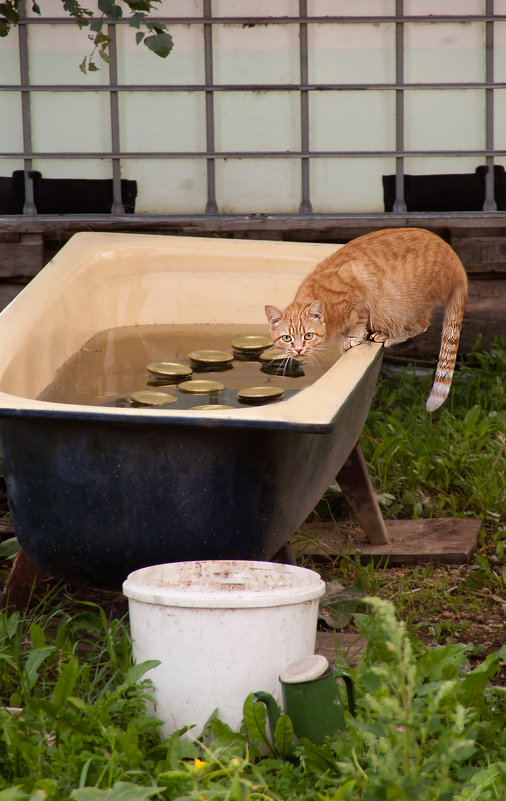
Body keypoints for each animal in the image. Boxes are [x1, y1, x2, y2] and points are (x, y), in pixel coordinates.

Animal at [266, 227, 468, 410]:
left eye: (308, 336)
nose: (299, 350)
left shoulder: (358, 294)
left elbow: (359, 321)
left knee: (421, 325)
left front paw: (353, 338)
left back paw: (389, 337)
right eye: (286, 338)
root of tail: (456, 261)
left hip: (398, 306)